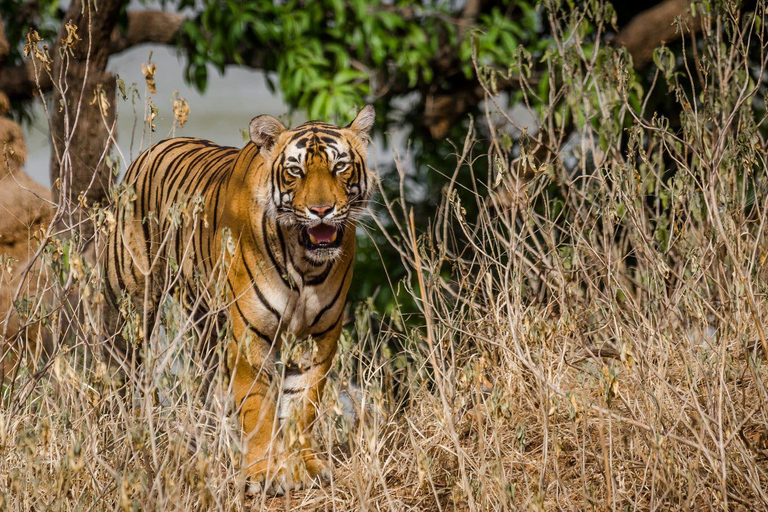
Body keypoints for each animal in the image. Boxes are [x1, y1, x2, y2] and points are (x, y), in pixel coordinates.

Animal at [103, 106, 376, 494]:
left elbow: (302, 405)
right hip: (132, 304)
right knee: (122, 368)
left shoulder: (319, 338)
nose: (321, 210)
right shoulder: (250, 336)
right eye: (296, 171)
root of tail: (154, 148)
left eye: (340, 166)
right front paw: (264, 473)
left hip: (207, 322)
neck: (305, 264)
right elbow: (257, 407)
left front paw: (304, 466)